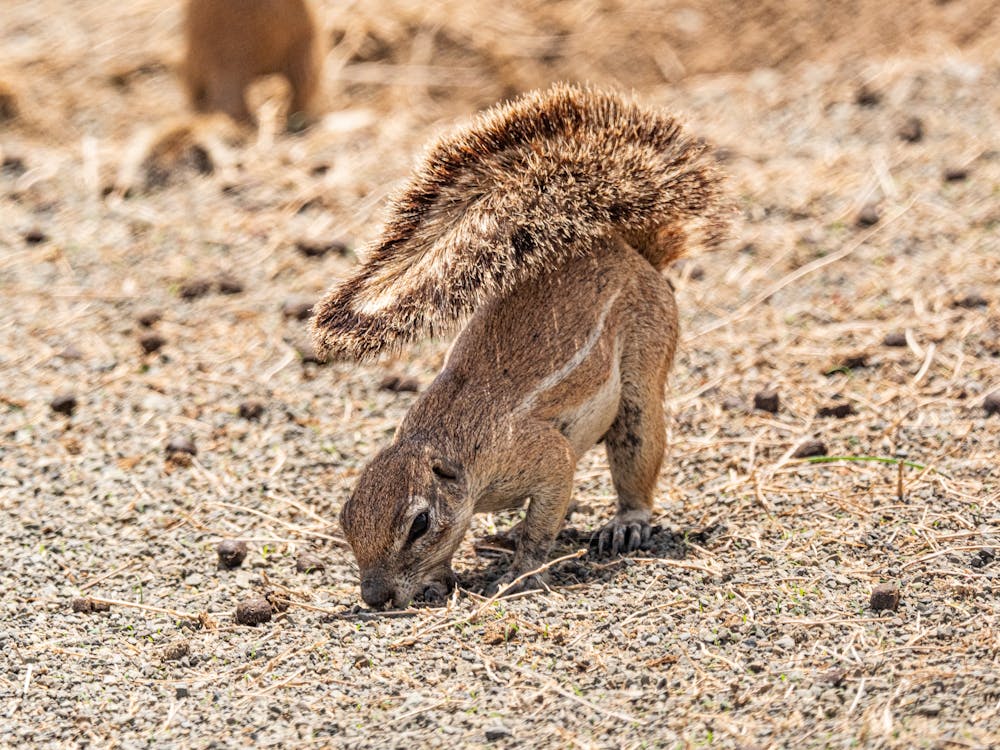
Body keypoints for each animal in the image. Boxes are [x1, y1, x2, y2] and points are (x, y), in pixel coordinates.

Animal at [312, 83, 728, 612]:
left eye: (420, 523)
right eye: (345, 517)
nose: (375, 596)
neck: (452, 444)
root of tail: (631, 251)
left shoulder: (544, 456)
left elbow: (543, 517)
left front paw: (520, 572)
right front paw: (441, 578)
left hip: (640, 381)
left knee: (638, 460)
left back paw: (625, 523)